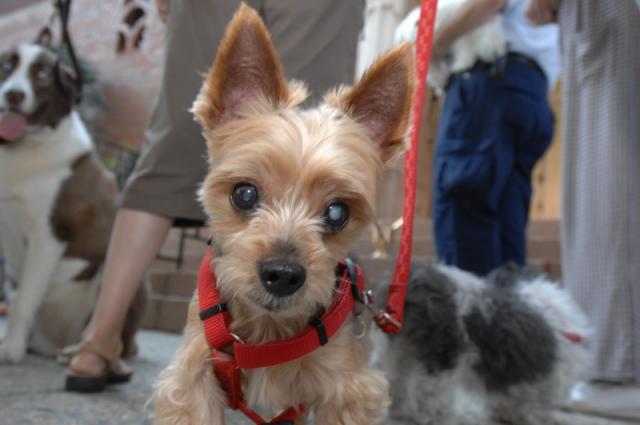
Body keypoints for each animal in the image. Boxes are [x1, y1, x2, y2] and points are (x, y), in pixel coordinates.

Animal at [0, 36, 141, 363]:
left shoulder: (50, 233)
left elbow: (24, 299)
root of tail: (57, 344)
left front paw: (10, 350)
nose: (13, 94)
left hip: (116, 274)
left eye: (42, 75)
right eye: (7, 66)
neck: (24, 149)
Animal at [371, 263, 590, 425]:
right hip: (443, 357)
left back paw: (401, 412)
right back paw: (441, 418)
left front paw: (506, 414)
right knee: (430, 393)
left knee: (395, 382)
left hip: (396, 352)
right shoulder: (543, 380)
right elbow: (532, 403)